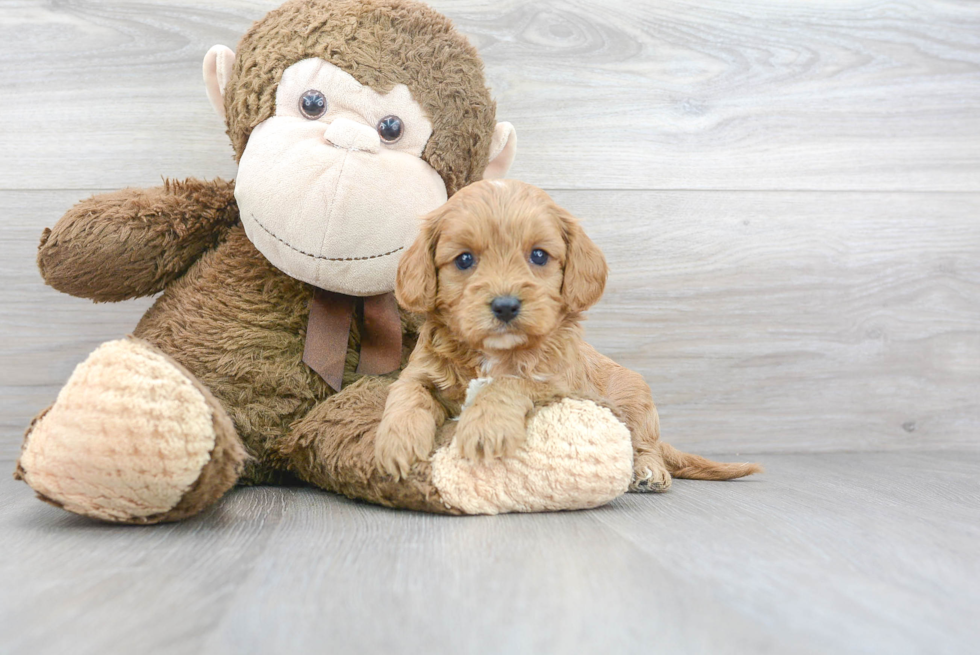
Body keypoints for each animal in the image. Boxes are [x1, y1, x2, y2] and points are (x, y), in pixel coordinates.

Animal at [376, 181, 756, 492]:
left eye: (538, 255)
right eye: (464, 259)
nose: (505, 306)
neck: (494, 353)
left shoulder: (557, 384)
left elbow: (507, 383)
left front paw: (484, 428)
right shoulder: (420, 371)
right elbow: (408, 395)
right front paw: (397, 443)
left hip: (637, 399)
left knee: (646, 445)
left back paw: (649, 471)